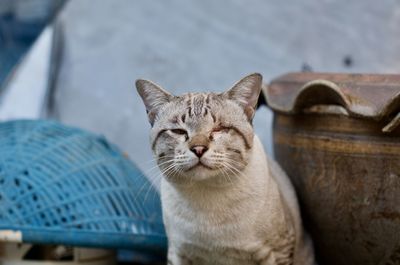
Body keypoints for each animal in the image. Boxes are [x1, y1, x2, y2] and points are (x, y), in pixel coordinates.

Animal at [136, 72, 314, 264]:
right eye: (179, 132)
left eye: (219, 129)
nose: (199, 149)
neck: (206, 198)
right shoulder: (178, 253)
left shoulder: (278, 251)